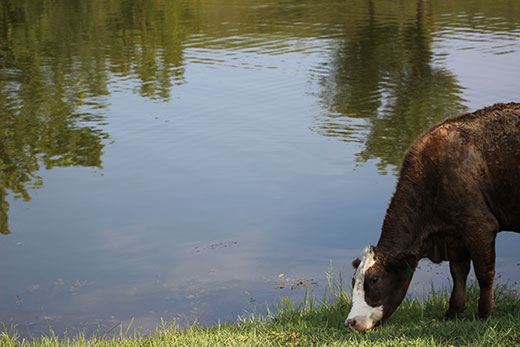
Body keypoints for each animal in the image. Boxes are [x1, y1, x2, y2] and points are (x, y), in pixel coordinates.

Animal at [346, 102, 520, 332]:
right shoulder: (455, 235)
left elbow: (484, 273)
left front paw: (485, 313)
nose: (350, 322)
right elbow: (458, 273)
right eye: (353, 281)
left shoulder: (480, 225)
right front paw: (454, 311)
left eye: (374, 279)